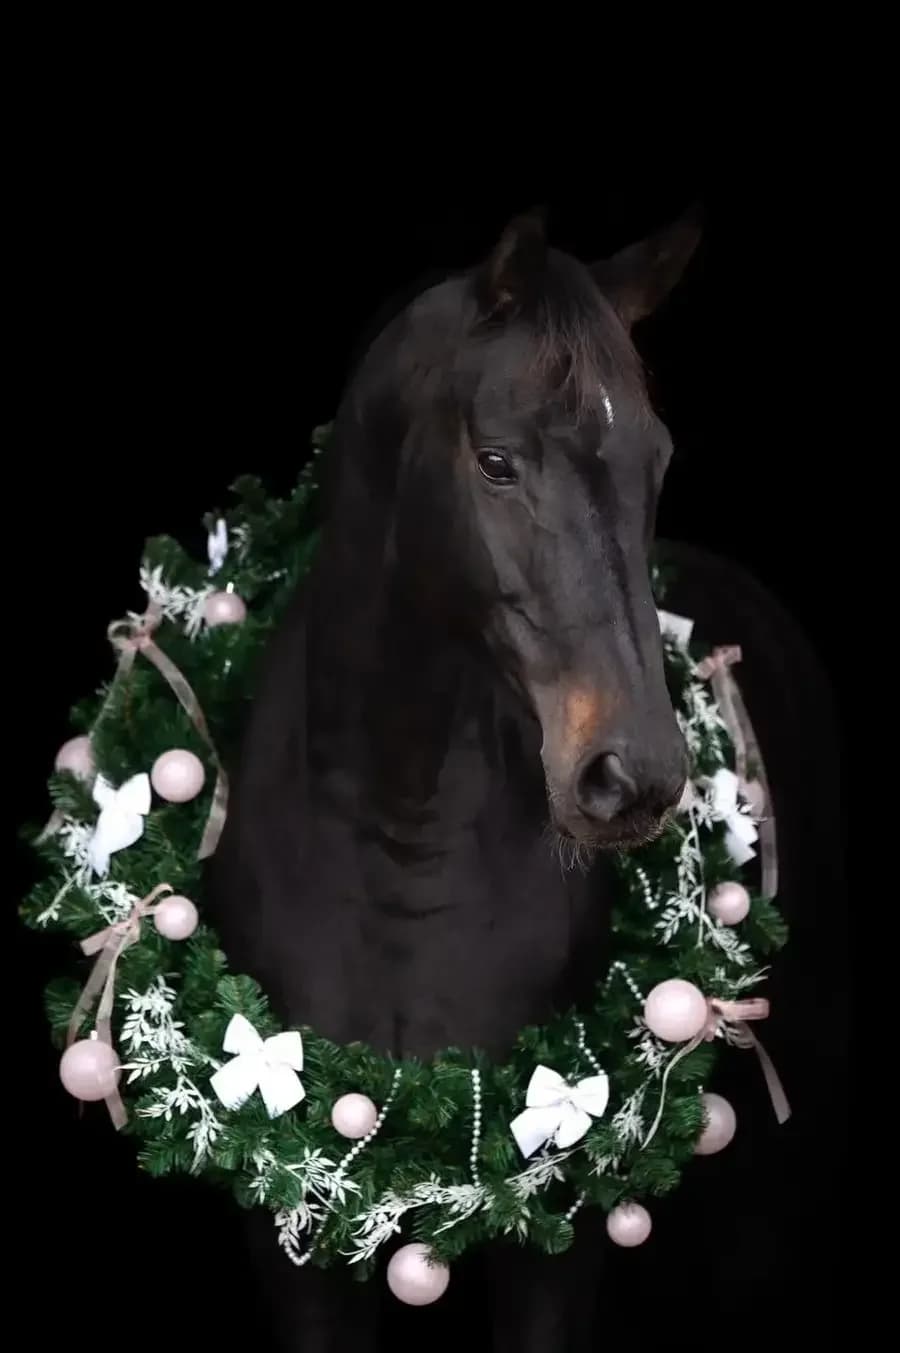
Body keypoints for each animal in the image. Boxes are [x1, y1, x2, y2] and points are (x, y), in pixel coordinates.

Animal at [208, 209, 844, 1350]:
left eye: (657, 459)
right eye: (497, 462)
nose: (634, 775)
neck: (397, 844)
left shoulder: (559, 1231)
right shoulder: (294, 1236)